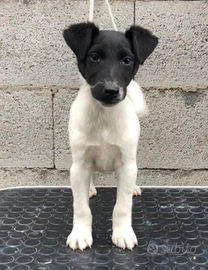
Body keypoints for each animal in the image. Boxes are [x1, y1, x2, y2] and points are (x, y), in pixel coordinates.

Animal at [63, 23, 158, 251]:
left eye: (127, 60)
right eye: (94, 57)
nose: (111, 90)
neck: (104, 117)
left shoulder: (127, 164)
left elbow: (122, 206)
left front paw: (123, 233)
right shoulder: (80, 164)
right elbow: (81, 207)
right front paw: (80, 234)